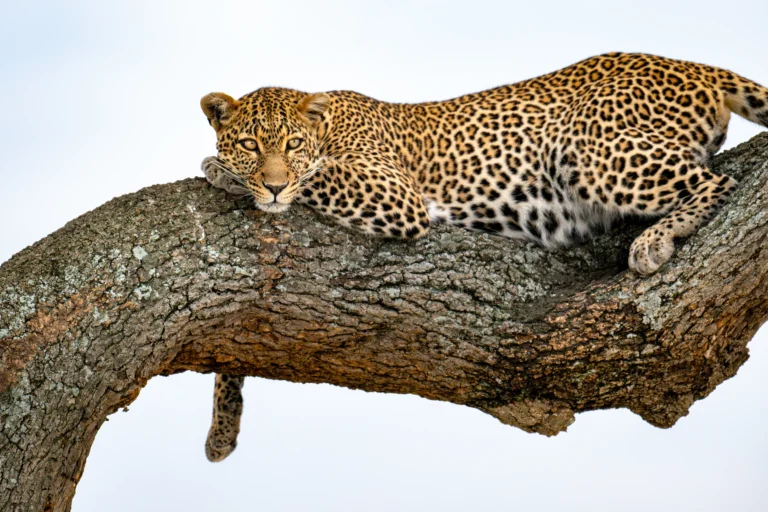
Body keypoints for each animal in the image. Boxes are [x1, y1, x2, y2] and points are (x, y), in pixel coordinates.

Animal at [198, 52, 768, 461]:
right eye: (250, 144)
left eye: (293, 143)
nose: (272, 185)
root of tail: (691, 65)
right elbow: (233, 346)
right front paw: (222, 431)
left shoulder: (396, 195)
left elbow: (318, 175)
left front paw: (221, 171)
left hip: (588, 149)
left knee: (718, 182)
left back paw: (654, 242)